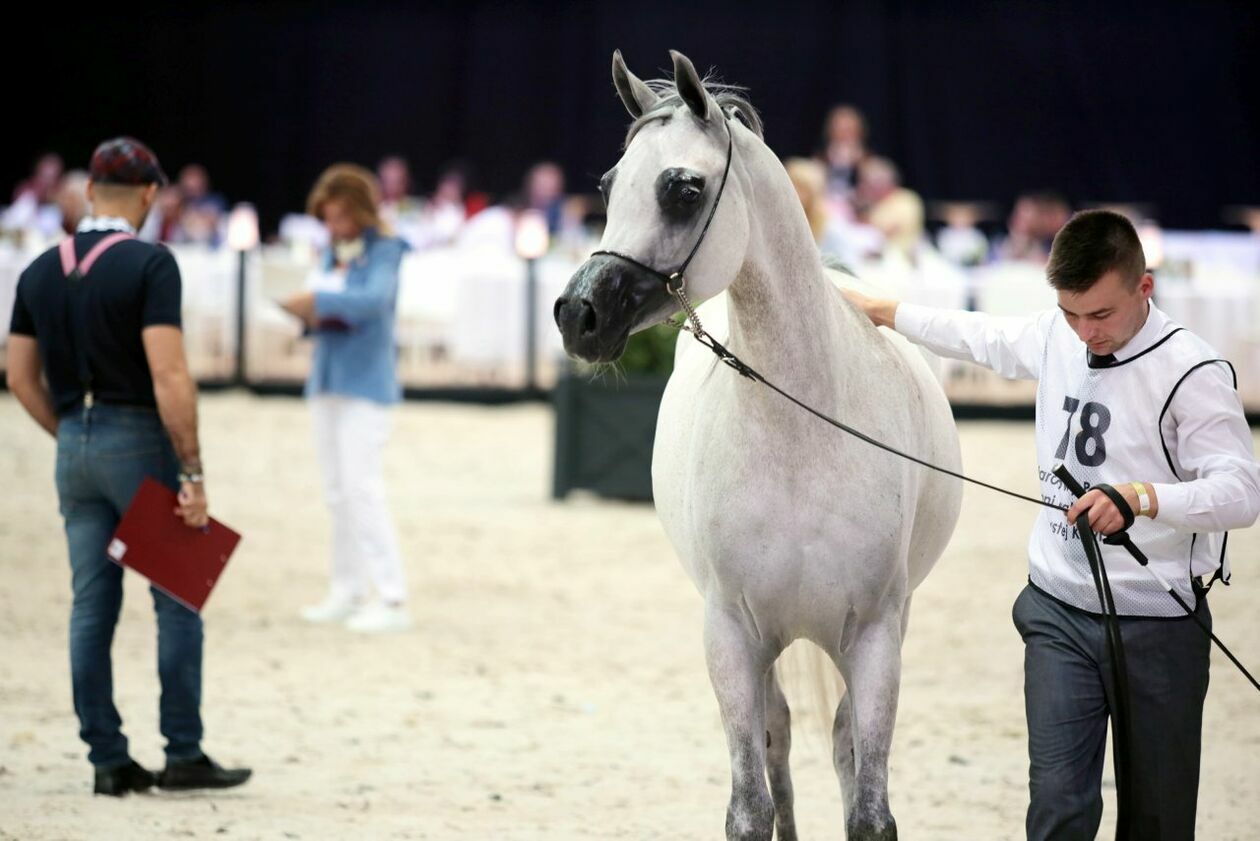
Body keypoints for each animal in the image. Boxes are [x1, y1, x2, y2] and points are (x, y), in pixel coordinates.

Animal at [556, 52, 957, 841]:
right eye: (609, 186)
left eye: (683, 188)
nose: (577, 314)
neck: (801, 436)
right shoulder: (732, 639)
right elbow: (751, 806)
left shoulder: (876, 638)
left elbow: (869, 807)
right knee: (778, 741)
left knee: (838, 744)